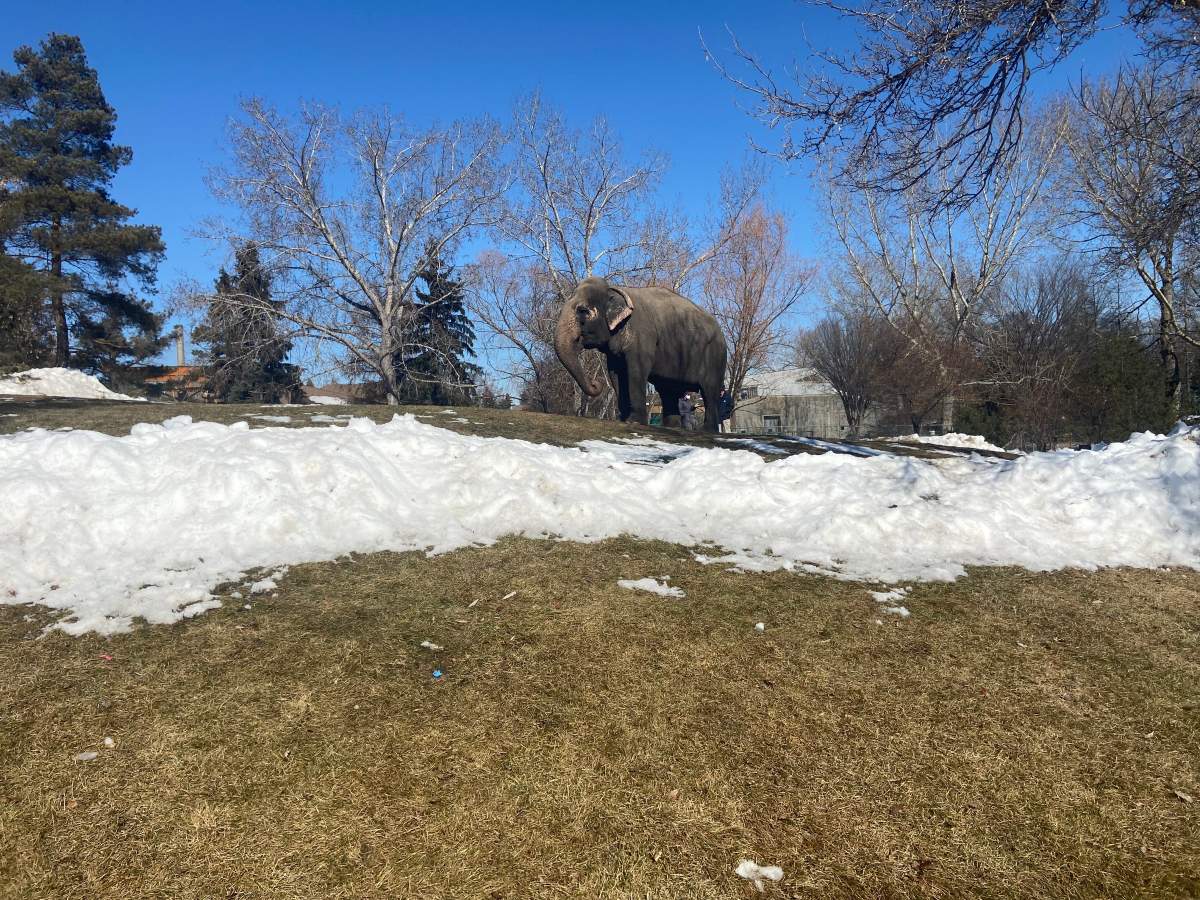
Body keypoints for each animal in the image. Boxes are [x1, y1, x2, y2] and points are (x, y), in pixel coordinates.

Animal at [553, 276, 728, 432]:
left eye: (583, 311)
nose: (597, 383)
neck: (615, 289)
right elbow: (616, 374)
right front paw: (623, 420)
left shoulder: (643, 336)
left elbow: (636, 370)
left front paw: (634, 422)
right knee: (668, 391)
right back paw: (671, 428)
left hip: (715, 356)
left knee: (709, 391)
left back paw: (707, 430)